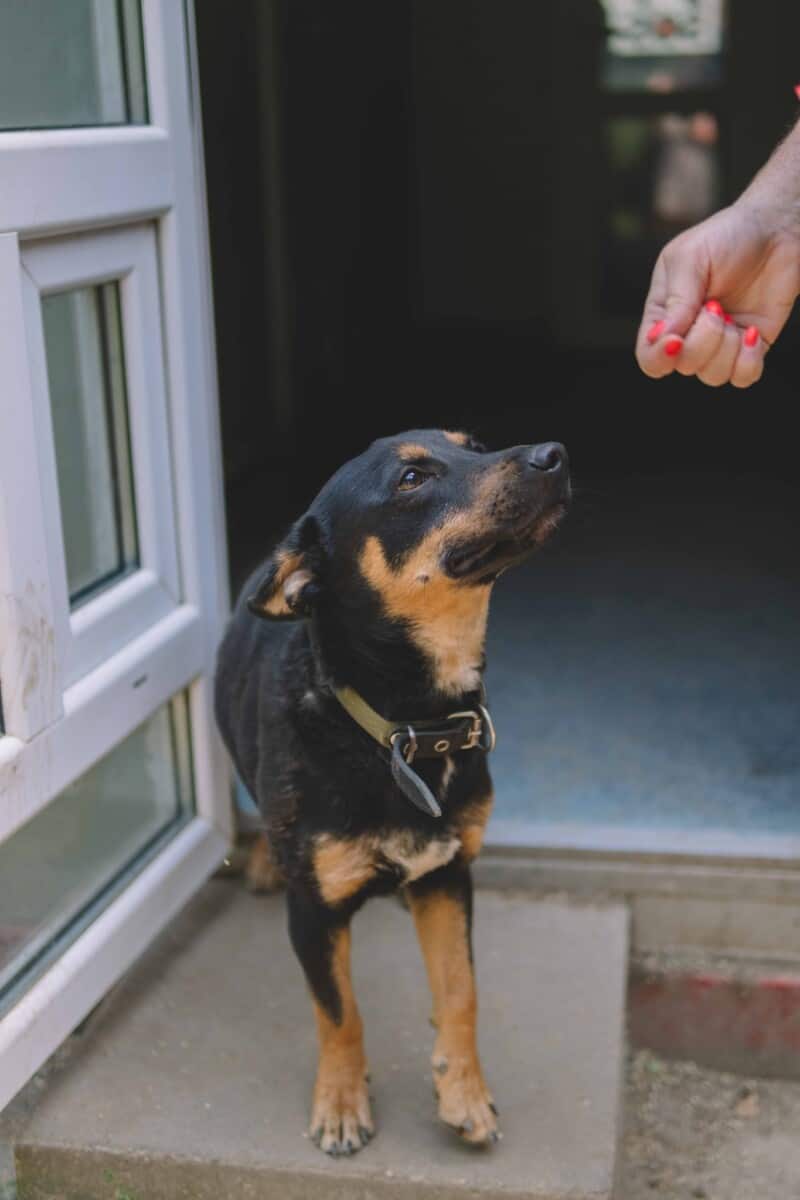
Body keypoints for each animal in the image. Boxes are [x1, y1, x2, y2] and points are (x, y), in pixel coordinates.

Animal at [214, 429, 570, 1155]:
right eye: (410, 479)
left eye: (476, 445)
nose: (555, 454)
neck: (403, 728)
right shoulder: (312, 912)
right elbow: (340, 1012)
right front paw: (341, 1103)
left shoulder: (447, 876)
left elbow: (461, 993)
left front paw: (463, 1093)